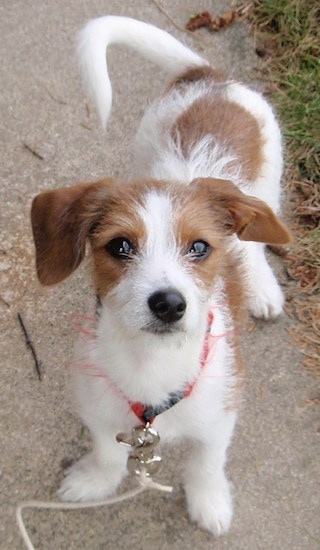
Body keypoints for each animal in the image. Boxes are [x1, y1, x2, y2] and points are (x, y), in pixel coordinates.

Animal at [31, 18, 292, 540]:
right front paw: (95, 481)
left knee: (255, 242)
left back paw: (262, 287)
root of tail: (210, 77)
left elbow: (207, 464)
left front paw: (209, 502)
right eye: (119, 246)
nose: (168, 304)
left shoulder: (219, 419)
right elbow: (108, 453)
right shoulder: (101, 412)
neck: (152, 365)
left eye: (200, 248)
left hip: (268, 184)